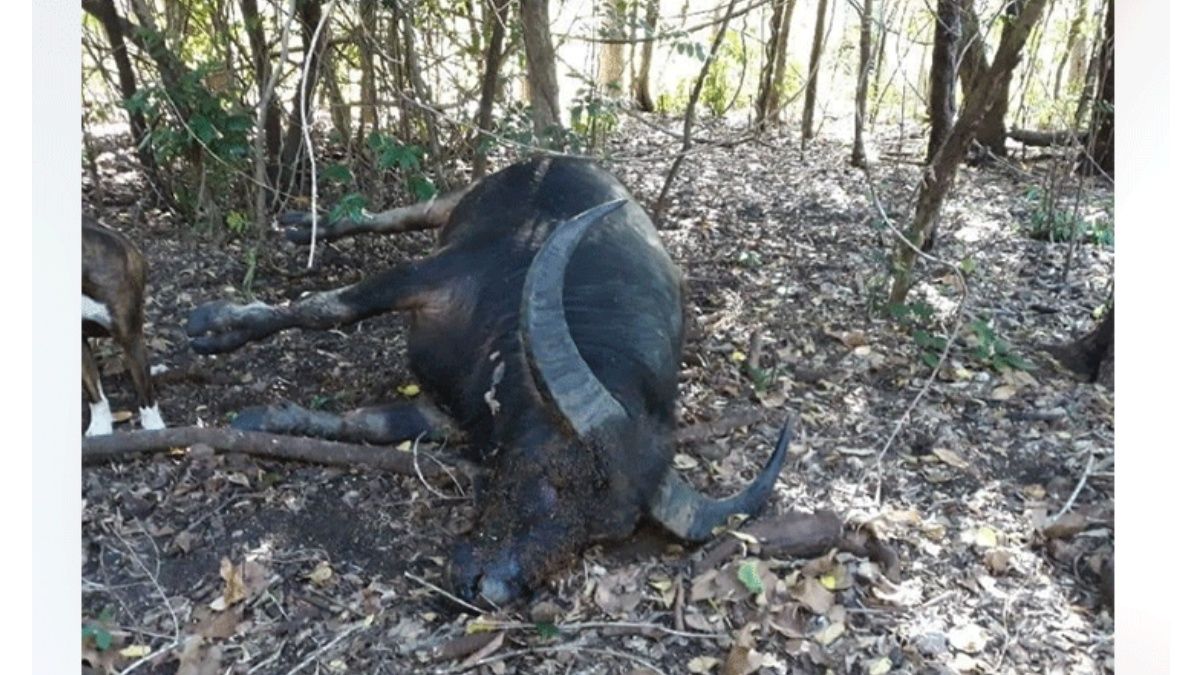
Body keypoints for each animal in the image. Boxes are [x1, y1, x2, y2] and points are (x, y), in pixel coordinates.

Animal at [187, 156, 791, 605]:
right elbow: (324, 309)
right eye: (554, 477)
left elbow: (367, 424)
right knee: (400, 215)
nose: (494, 589)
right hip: (454, 202)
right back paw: (305, 227)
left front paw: (267, 419)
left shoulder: (450, 413)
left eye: (598, 535)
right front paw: (217, 326)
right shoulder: (427, 277)